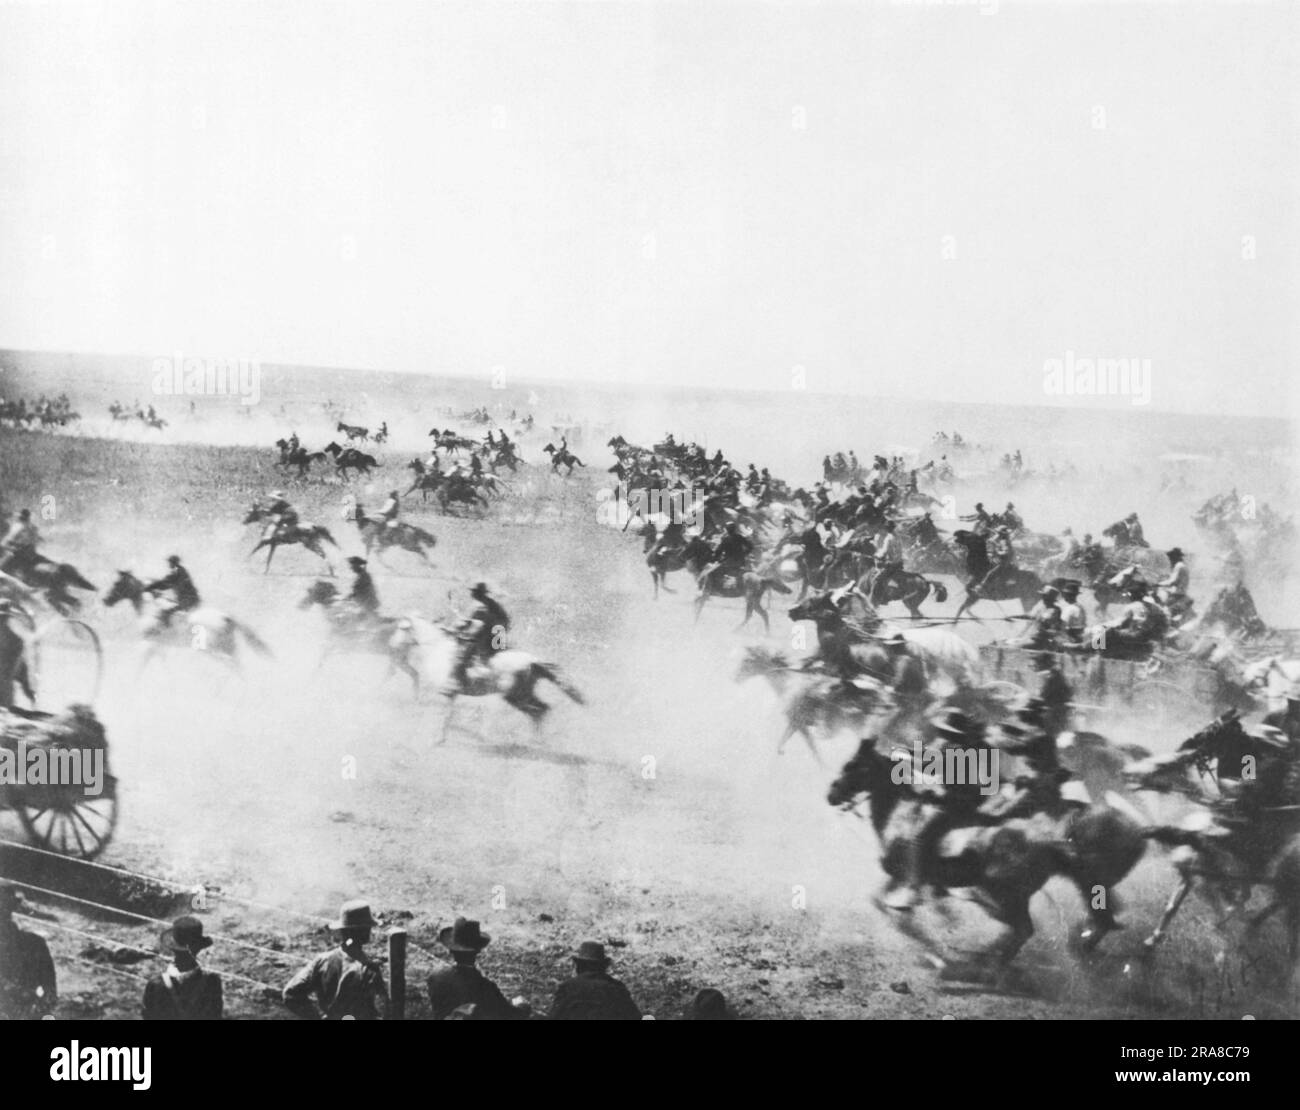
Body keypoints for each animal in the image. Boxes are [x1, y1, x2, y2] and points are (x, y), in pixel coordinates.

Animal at [397, 613, 587, 743]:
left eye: (402, 628)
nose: (396, 645)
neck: (437, 650)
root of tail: (533, 660)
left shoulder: (446, 693)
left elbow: (443, 715)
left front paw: (437, 739)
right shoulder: (451, 695)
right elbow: (447, 715)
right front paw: (441, 738)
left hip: (516, 695)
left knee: (539, 710)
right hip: (520, 695)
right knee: (540, 710)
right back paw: (535, 743)